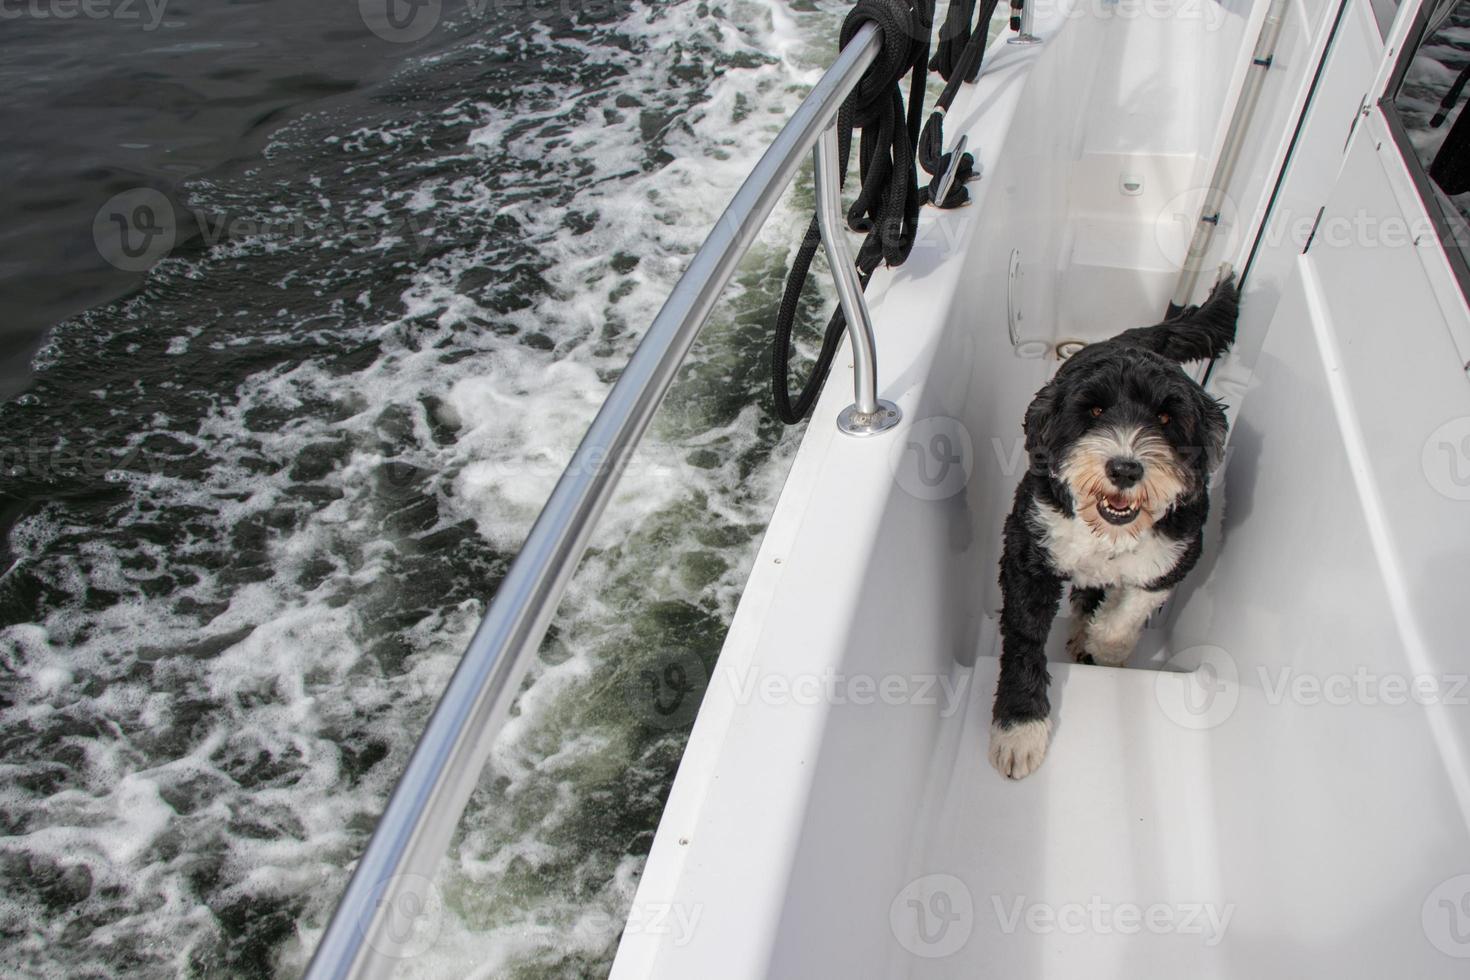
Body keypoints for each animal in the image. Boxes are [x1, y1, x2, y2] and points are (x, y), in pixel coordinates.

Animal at [987, 277, 1240, 781]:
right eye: (1095, 411)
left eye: (1166, 418)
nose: (1125, 468)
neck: (1106, 531)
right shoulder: (1029, 550)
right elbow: (1025, 636)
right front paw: (1019, 724)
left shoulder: (1175, 556)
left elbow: (1122, 618)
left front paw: (1104, 648)